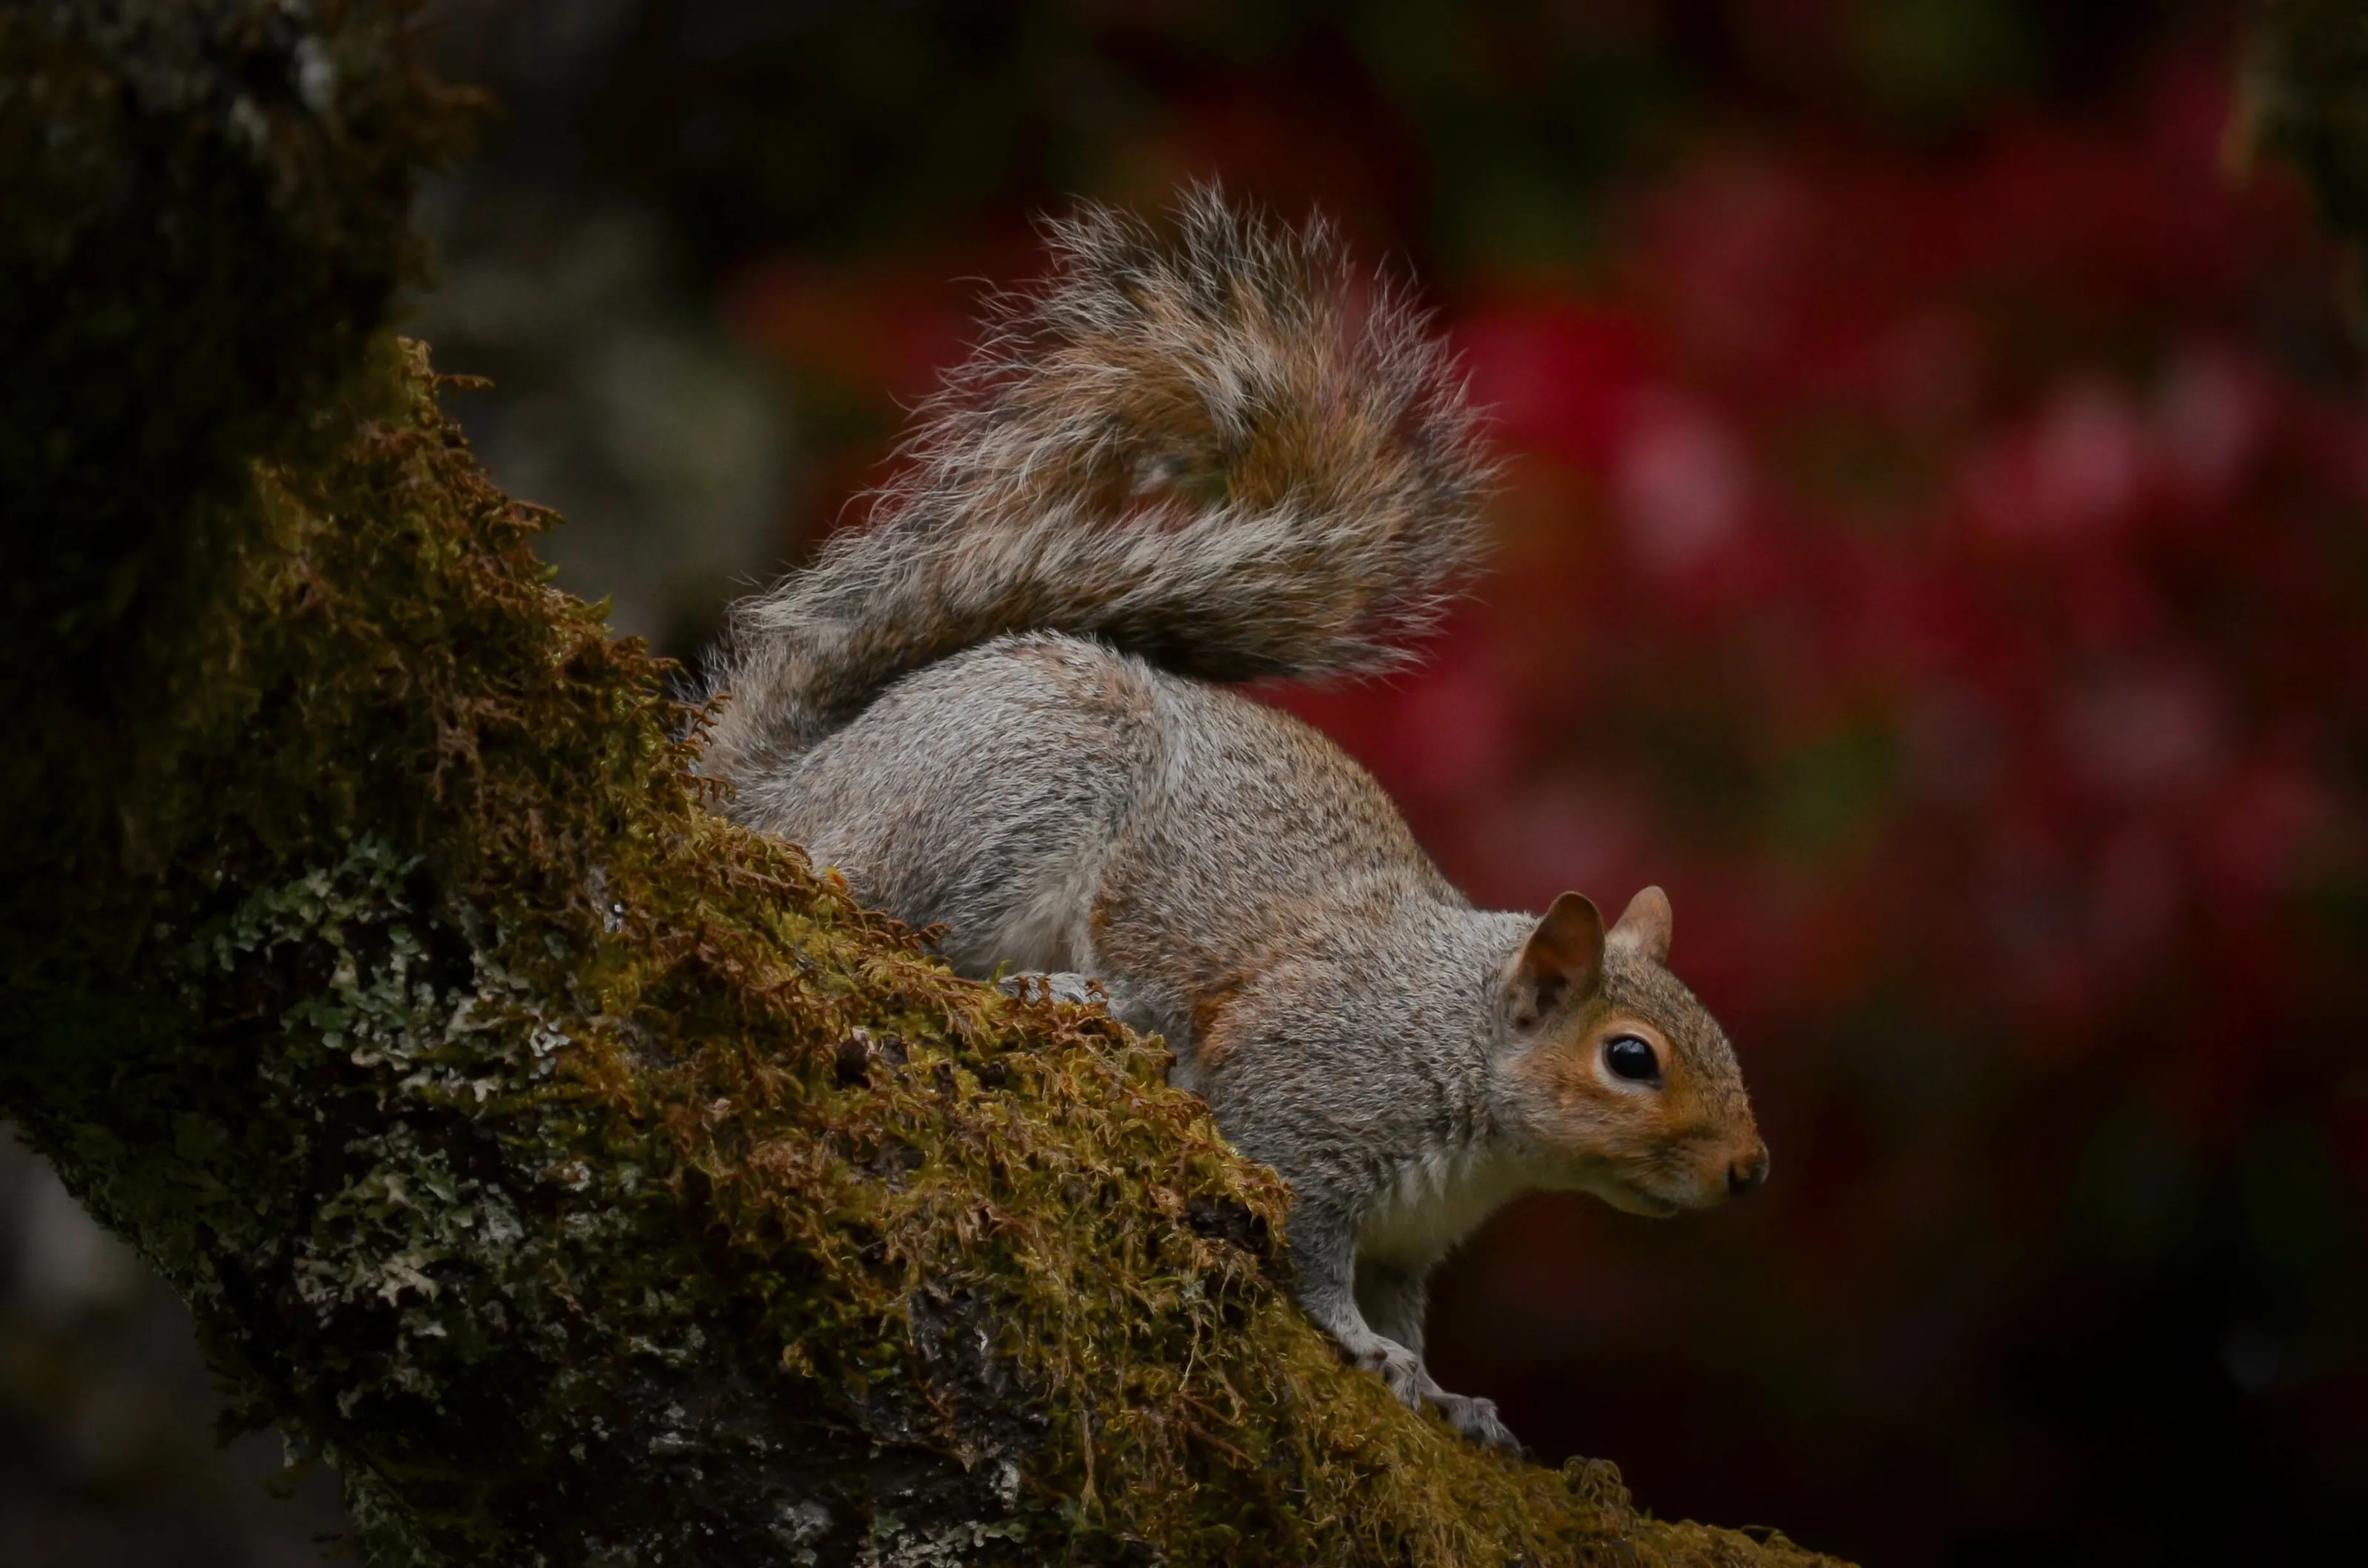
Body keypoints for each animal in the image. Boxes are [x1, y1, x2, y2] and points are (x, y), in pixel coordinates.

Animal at [701, 188, 1769, 1450]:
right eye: (1630, 1057)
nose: (1752, 1170)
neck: (1453, 1038)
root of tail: (801, 781)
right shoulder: (1300, 1098)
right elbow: (1311, 1254)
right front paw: (1363, 1346)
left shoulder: (1409, 1243)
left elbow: (1404, 1309)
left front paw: (1448, 1391)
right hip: (1014, 790)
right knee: (903, 928)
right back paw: (1078, 991)